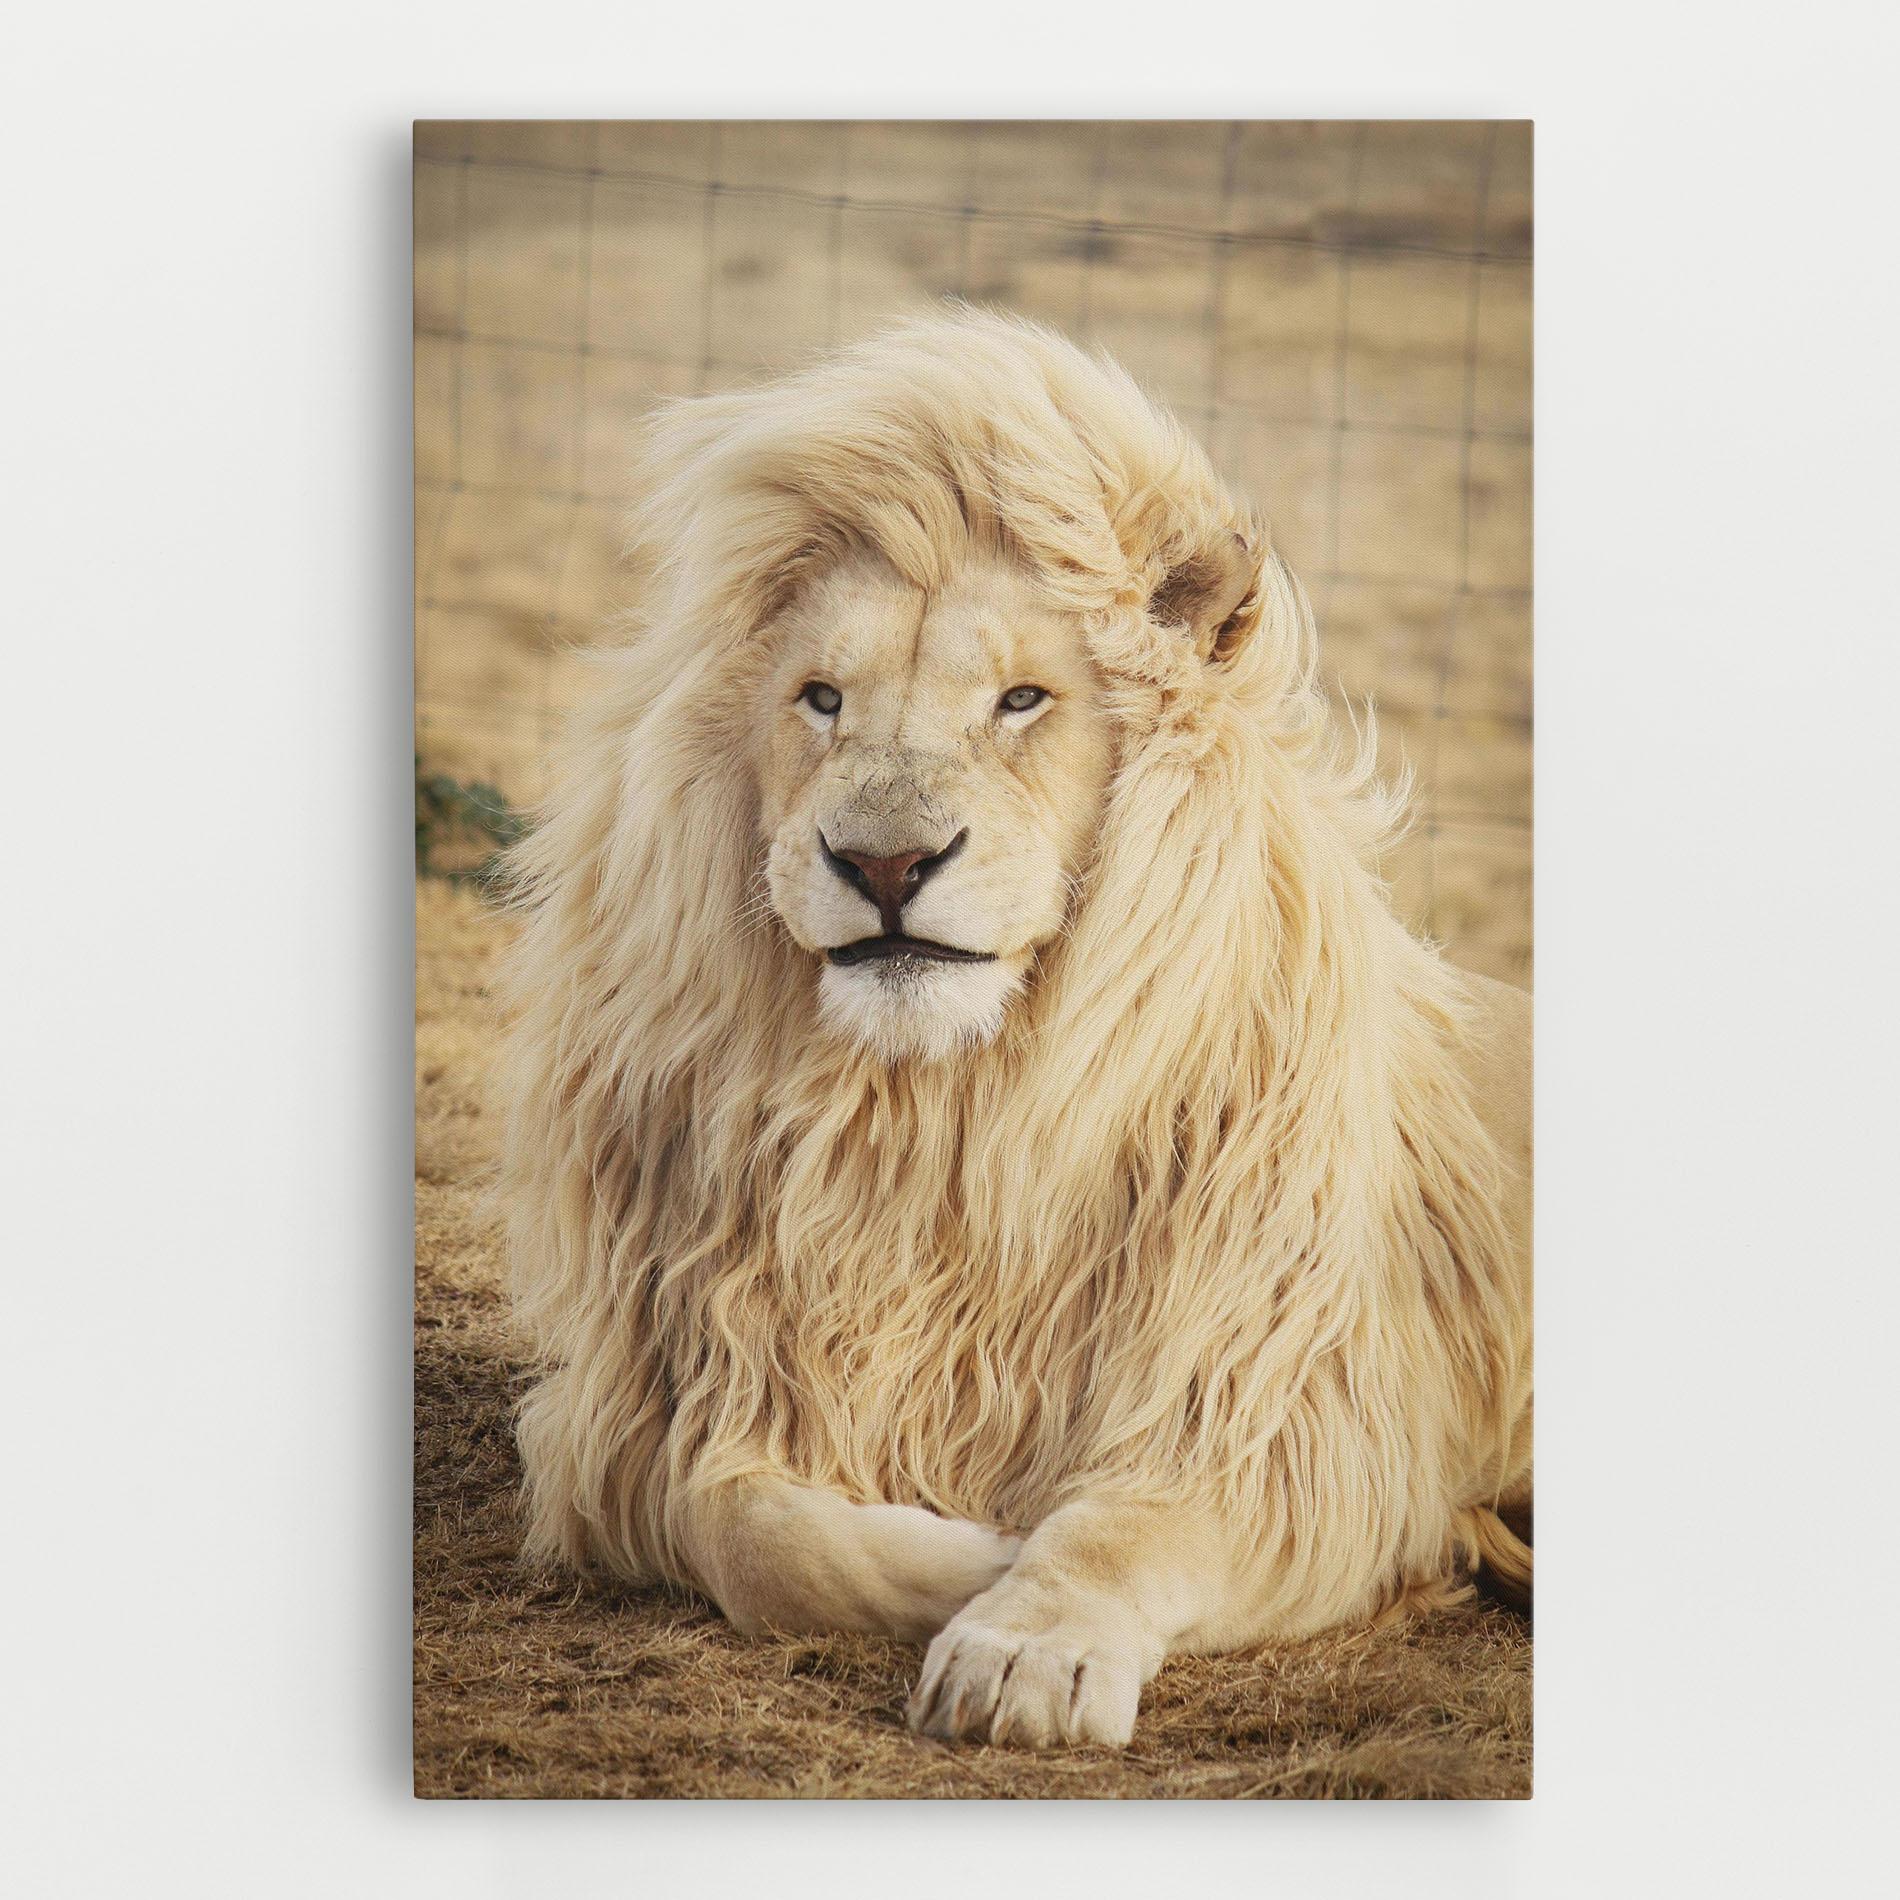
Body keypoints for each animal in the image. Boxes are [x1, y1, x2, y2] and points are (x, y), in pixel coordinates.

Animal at [499, 308, 1532, 1750]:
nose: (883, 863)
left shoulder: (1284, 1418)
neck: (943, 1117)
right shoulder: (668, 1399)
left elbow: (1122, 1526)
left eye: (1023, 701)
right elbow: (745, 1526)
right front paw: (973, 1554)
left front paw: (1022, 1641)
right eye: (821, 698)